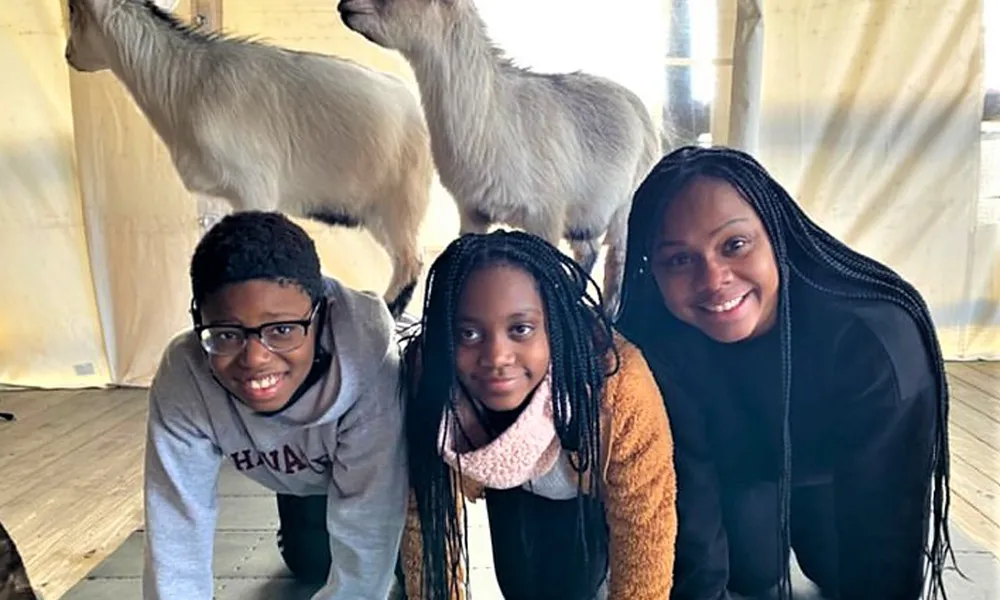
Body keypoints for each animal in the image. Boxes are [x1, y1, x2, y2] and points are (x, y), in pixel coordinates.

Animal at [65, 0, 434, 318]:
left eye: (73, 11)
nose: (68, 54)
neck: (188, 83)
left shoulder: (253, 189)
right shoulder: (223, 197)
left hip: (402, 202)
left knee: (410, 261)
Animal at [340, 0, 660, 314]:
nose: (344, 6)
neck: (491, 119)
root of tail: (639, 108)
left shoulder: (546, 215)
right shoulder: (473, 210)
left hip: (622, 211)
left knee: (615, 262)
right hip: (584, 220)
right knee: (588, 253)